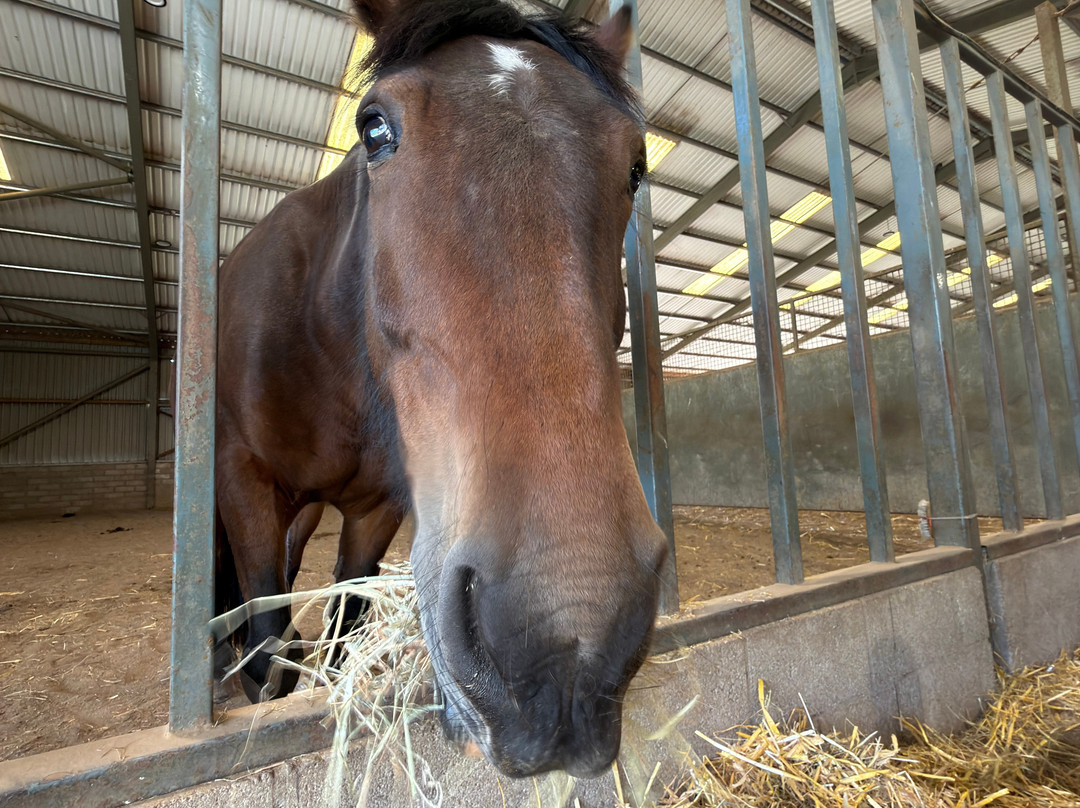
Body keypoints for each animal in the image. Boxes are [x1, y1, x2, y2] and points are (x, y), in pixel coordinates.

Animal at [213, 0, 667, 779]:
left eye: (635, 165)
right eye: (374, 129)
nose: (564, 646)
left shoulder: (377, 510)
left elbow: (341, 636)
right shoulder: (243, 477)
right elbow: (269, 652)